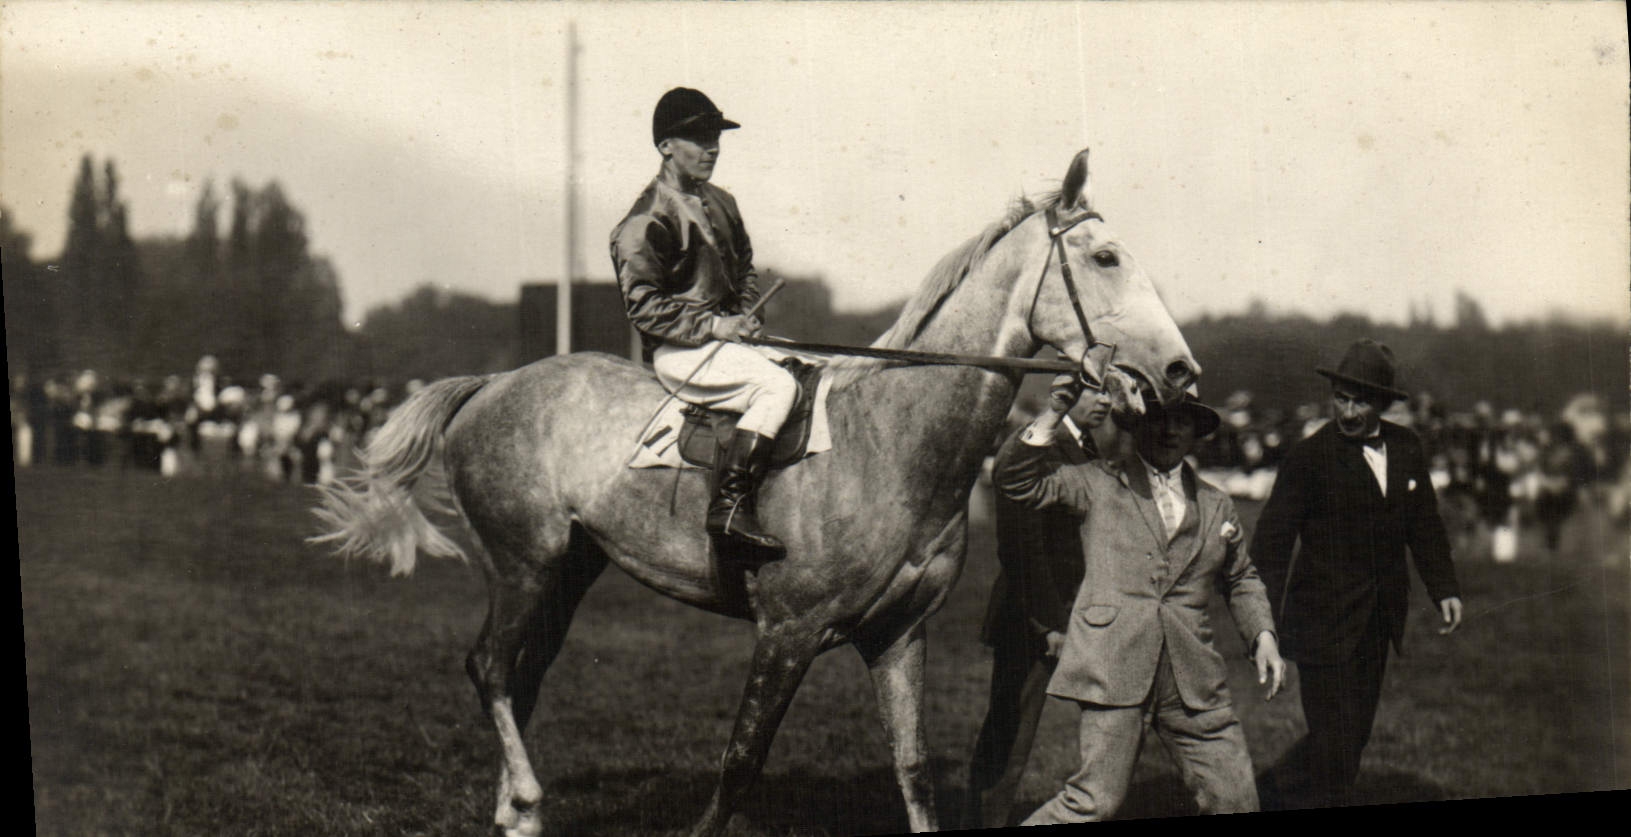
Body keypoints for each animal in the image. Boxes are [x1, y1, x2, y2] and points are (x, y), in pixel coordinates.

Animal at [313, 148, 1199, 837]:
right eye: (1106, 258)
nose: (1181, 371)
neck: (892, 438)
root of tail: (492, 384)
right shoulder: (787, 629)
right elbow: (740, 761)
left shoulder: (898, 632)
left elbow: (911, 766)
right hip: (521, 562)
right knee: (490, 667)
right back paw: (527, 798)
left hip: (567, 570)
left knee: (521, 675)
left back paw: (515, 812)